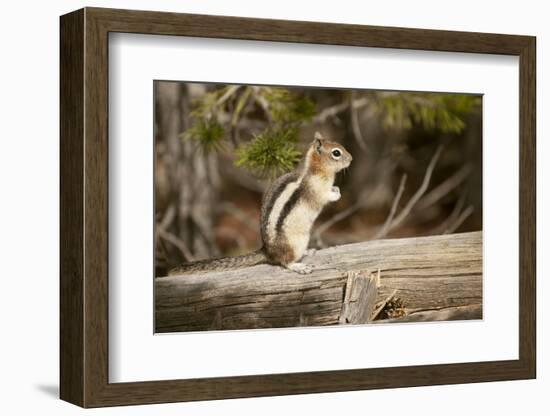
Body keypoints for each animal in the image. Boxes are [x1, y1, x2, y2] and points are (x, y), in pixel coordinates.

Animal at [168, 132, 356, 276]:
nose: (352, 158)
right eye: (336, 153)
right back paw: (299, 266)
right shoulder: (316, 190)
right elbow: (325, 197)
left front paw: (337, 188)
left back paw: (308, 252)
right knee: (285, 262)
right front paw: (336, 193)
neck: (316, 171)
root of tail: (267, 251)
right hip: (296, 241)